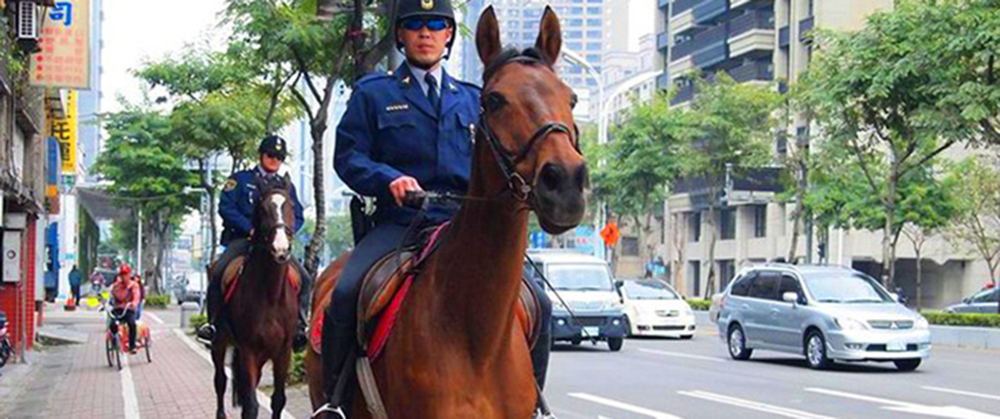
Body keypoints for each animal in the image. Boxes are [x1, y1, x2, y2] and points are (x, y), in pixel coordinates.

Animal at [212, 177, 298, 419]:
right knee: (220, 380)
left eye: (291, 206)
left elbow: (278, 400)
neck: (271, 294)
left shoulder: (283, 352)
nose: (281, 248)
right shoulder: (248, 350)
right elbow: (251, 406)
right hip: (219, 341)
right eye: (262, 208)